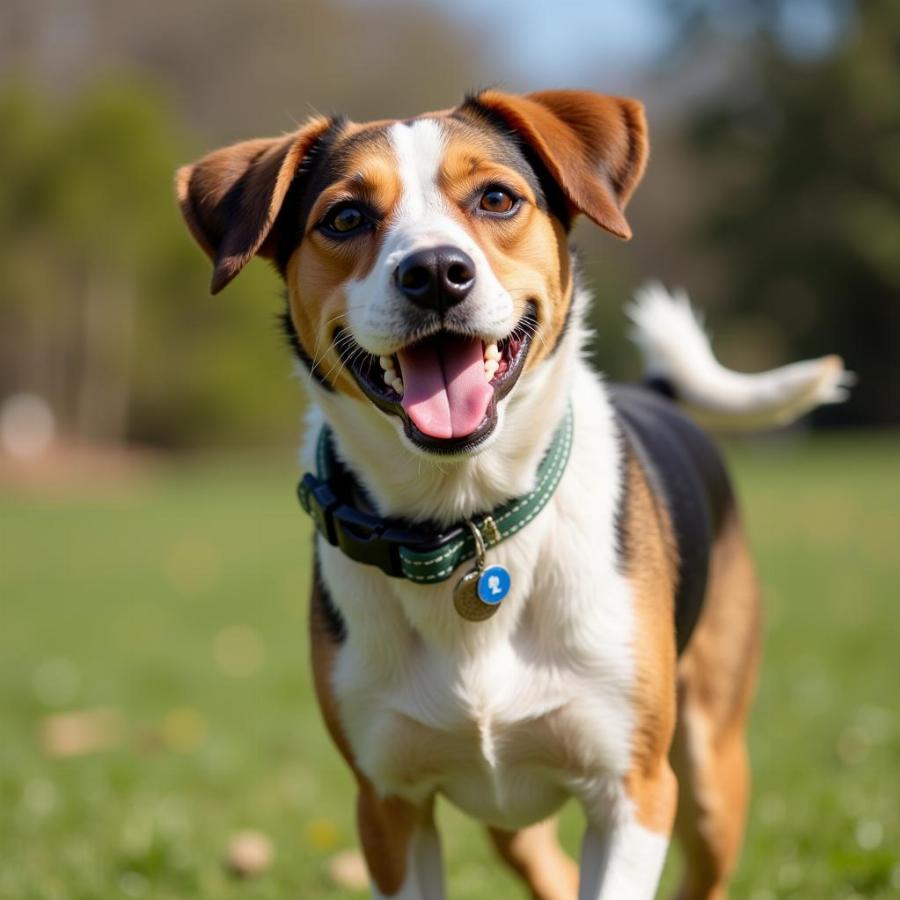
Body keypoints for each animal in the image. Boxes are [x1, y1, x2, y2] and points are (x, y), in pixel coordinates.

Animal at [176, 91, 852, 900]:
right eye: (344, 217)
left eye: (496, 199)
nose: (437, 272)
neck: (465, 521)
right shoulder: (389, 806)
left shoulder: (633, 793)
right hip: (510, 816)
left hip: (710, 772)